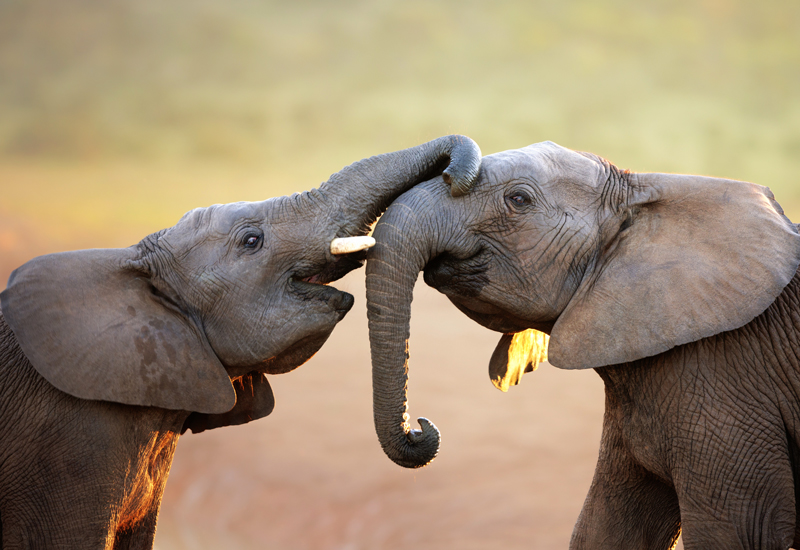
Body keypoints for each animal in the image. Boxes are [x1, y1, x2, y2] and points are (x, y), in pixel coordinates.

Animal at [366, 143, 800, 550]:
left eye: (518, 199)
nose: (420, 428)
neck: (642, 192)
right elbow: (607, 528)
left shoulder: (727, 379)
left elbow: (740, 532)